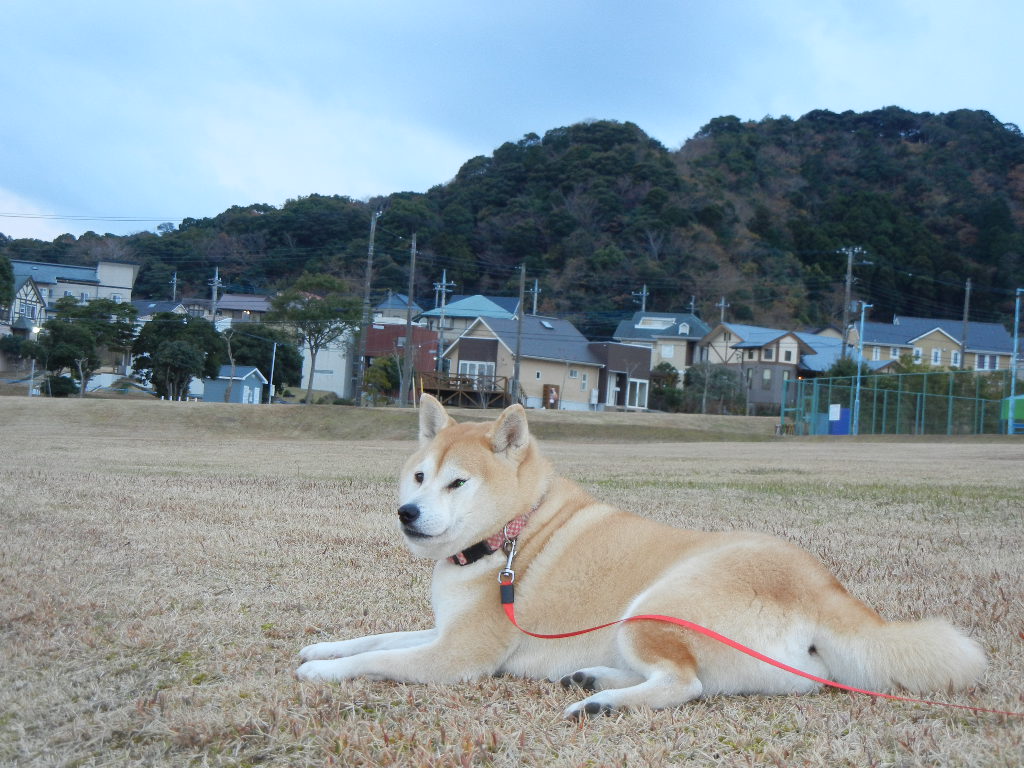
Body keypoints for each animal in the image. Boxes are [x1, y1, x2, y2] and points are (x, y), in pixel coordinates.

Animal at [296, 397, 983, 720]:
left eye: (456, 484)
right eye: (418, 476)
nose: (407, 513)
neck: (513, 534)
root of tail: (824, 584)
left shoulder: (458, 655)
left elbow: (382, 659)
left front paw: (324, 674)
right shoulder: (443, 630)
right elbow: (377, 638)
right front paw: (322, 648)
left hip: (649, 606)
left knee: (684, 684)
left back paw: (599, 703)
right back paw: (592, 680)